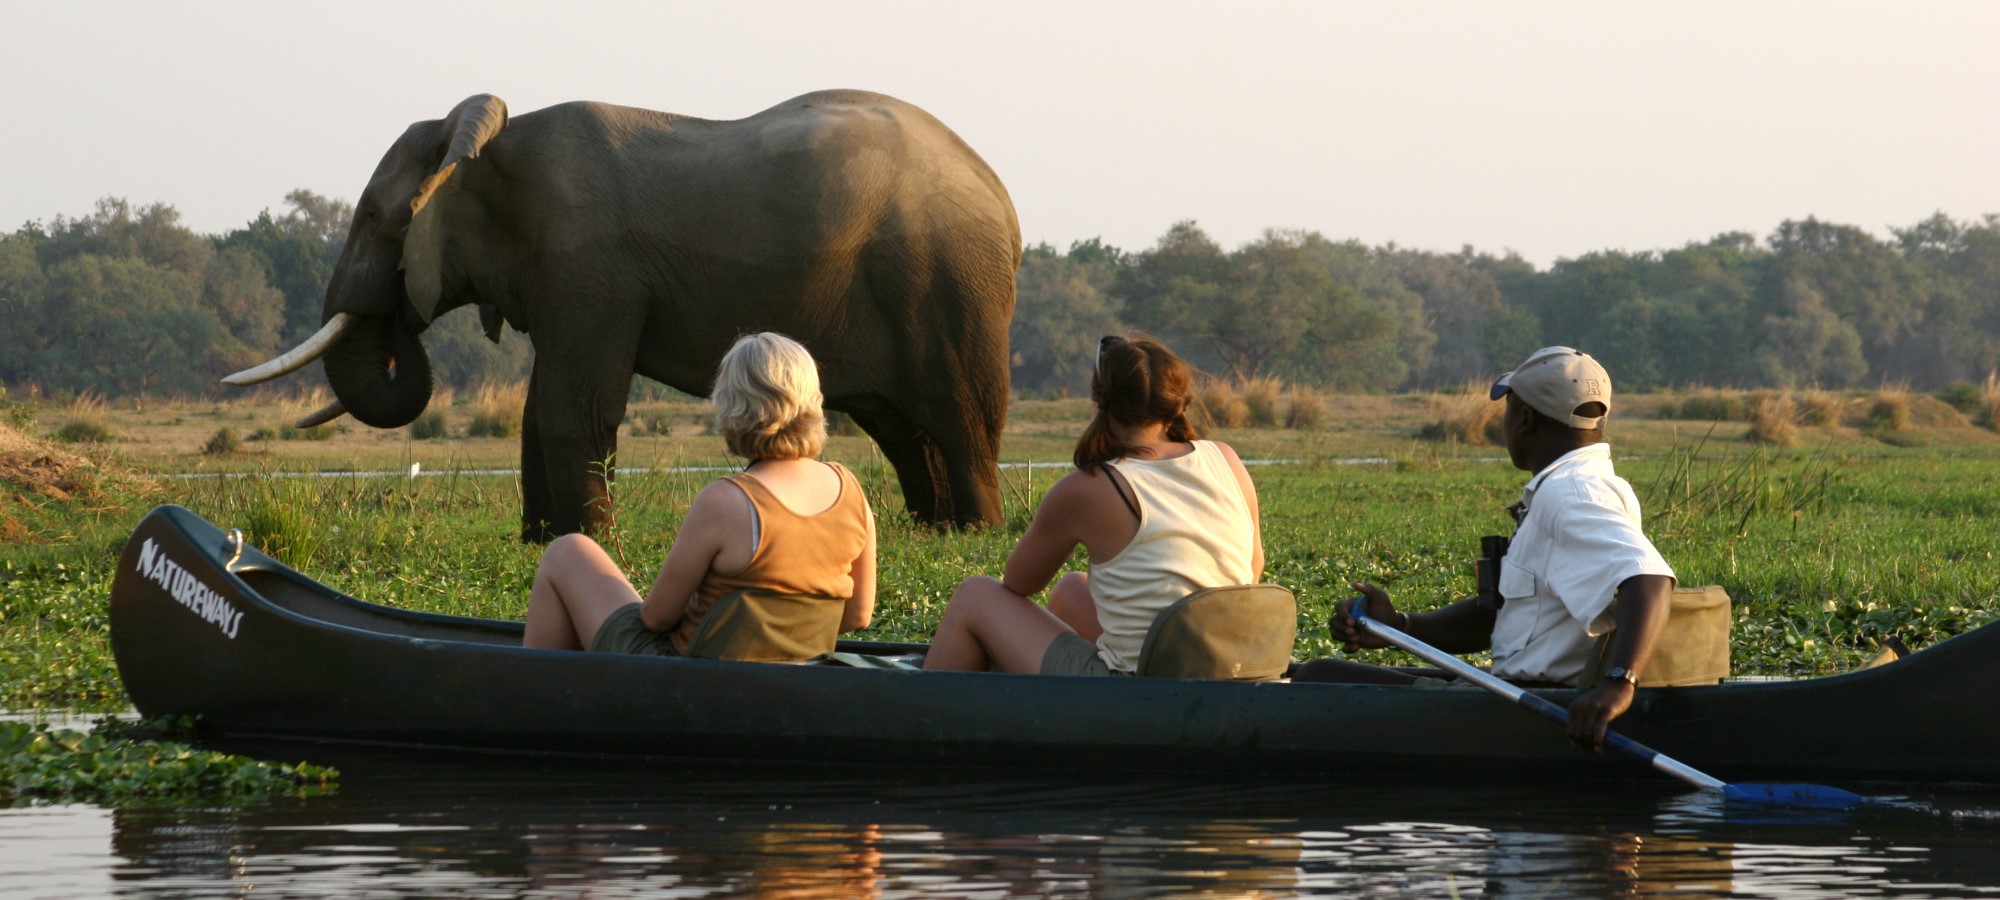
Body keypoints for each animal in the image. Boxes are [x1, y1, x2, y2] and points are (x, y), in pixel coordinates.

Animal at [227, 89, 1024, 540]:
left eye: (373, 217)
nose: (395, 317)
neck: (489, 143)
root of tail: (1002, 197)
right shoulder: (564, 272)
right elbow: (538, 407)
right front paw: (543, 543)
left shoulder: (589, 261)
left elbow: (572, 402)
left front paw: (594, 544)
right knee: (902, 427)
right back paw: (934, 533)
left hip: (948, 285)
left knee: (958, 412)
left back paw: (975, 537)